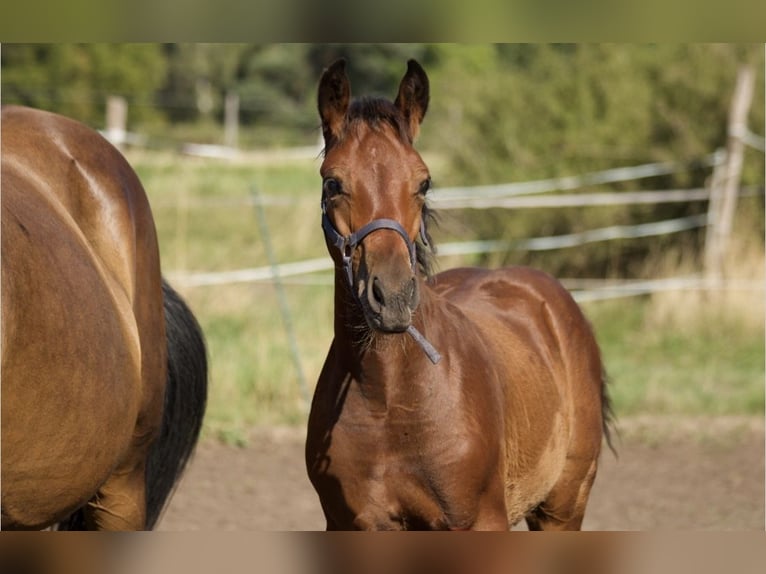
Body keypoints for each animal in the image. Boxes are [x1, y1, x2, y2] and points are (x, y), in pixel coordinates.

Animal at [305, 59, 614, 530]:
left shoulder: (477, 520)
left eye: (424, 182)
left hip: (562, 507)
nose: (392, 297)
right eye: (333, 184)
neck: (389, 399)